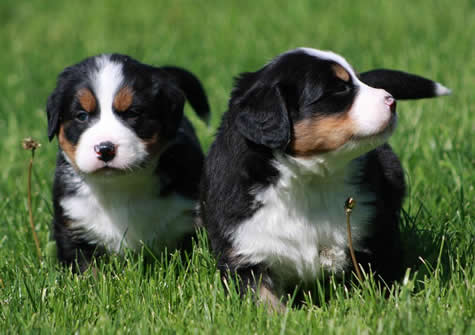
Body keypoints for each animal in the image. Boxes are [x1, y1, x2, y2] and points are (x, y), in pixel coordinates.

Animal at [47, 53, 210, 272]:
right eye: (81, 116)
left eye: (132, 113)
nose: (105, 149)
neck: (120, 187)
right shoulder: (74, 226)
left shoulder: (190, 218)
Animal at [199, 46, 452, 310]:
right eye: (339, 88)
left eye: (357, 79)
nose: (391, 100)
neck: (309, 180)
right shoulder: (246, 252)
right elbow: (265, 303)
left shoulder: (375, 234)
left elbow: (381, 281)